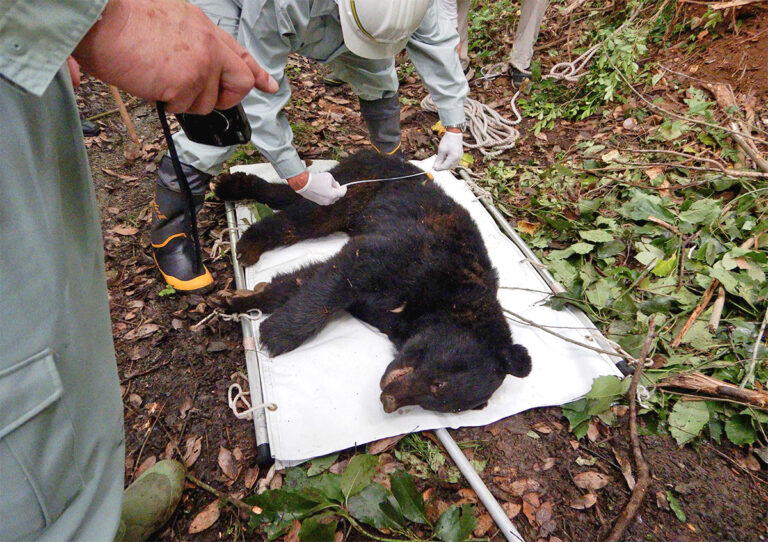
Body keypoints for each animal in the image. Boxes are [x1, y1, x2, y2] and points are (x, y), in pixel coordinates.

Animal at [213, 151, 532, 414]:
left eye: (440, 406)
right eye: (438, 384)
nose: (388, 401)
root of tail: (378, 153)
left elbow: (311, 276)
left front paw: (241, 300)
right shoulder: (417, 255)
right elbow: (347, 272)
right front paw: (276, 333)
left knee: (290, 197)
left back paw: (233, 185)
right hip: (353, 191)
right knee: (305, 216)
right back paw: (249, 241)